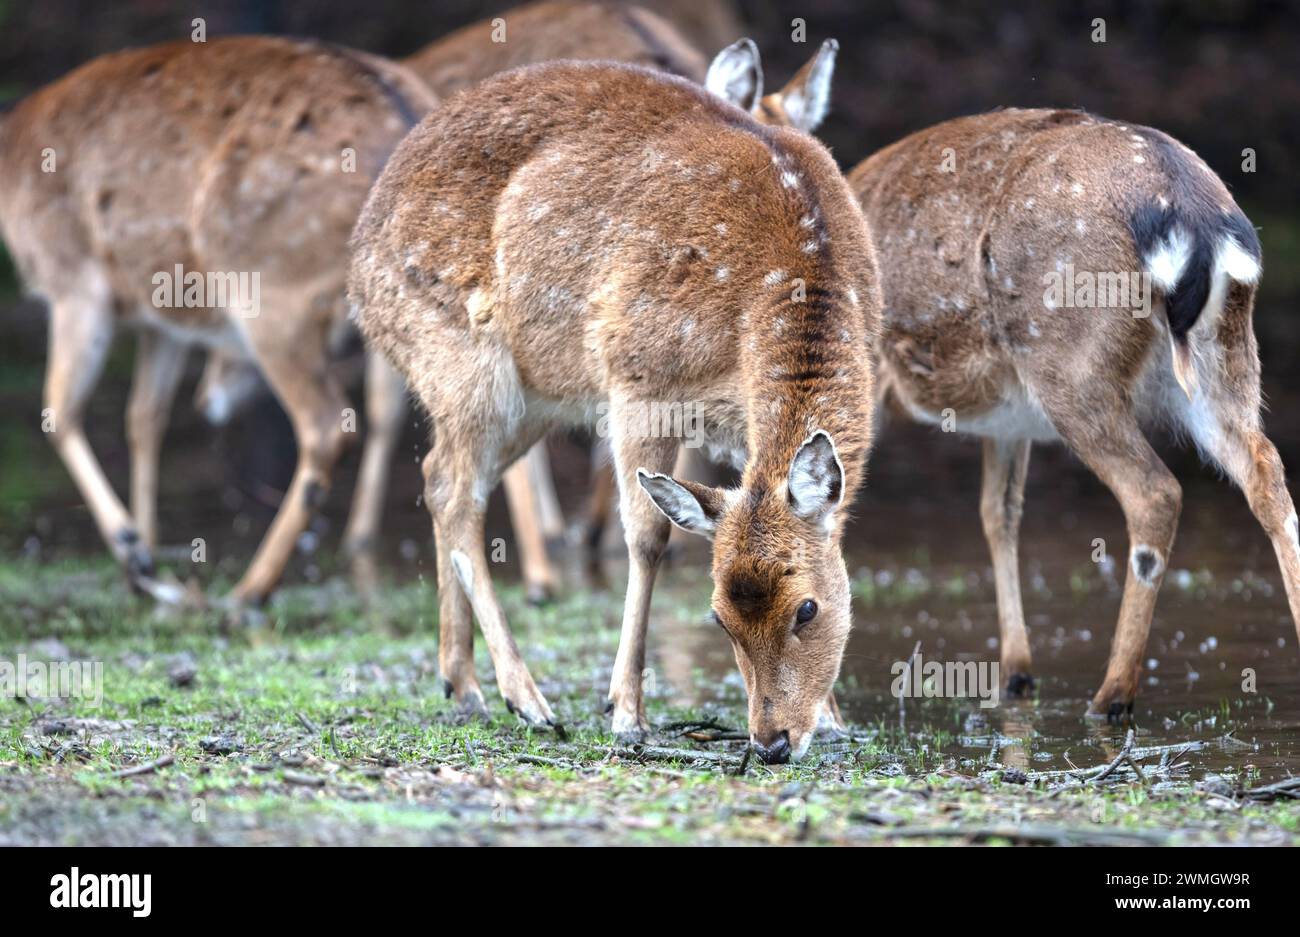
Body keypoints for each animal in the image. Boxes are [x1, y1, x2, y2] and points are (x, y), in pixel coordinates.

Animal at [0, 32, 436, 603]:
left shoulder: (73, 281)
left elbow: (59, 411)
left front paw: (135, 554)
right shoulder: (159, 318)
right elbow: (144, 417)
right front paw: (148, 564)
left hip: (271, 290)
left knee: (328, 427)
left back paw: (248, 592)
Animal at [351, 60, 878, 758]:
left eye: (808, 608)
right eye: (719, 617)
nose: (771, 740)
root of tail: (355, 268)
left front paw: (837, 718)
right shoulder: (639, 379)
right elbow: (647, 536)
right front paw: (626, 711)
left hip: (532, 399)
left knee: (439, 475)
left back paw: (462, 685)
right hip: (458, 359)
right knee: (455, 491)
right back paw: (528, 700)